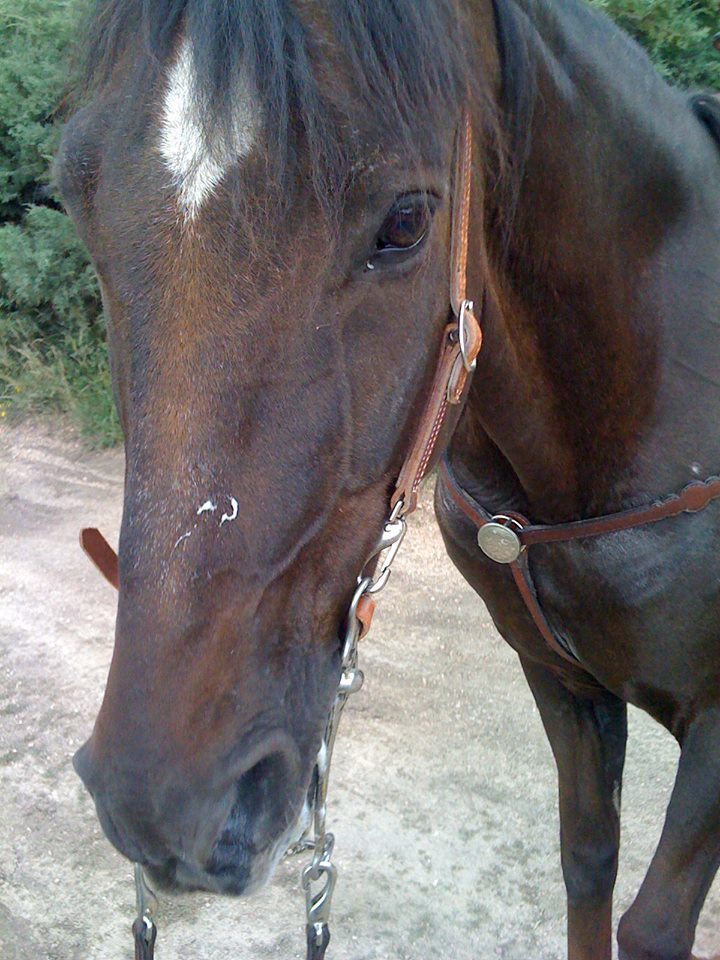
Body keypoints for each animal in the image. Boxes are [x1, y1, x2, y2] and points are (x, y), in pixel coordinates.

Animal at [57, 1, 720, 958]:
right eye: (77, 198)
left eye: (406, 221)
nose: (165, 808)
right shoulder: (560, 683)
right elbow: (587, 863)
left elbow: (653, 924)